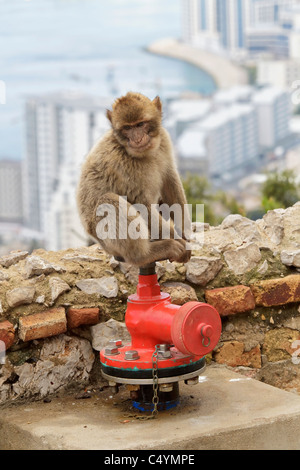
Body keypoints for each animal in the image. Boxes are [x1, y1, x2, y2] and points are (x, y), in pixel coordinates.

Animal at [76, 92, 191, 266]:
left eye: (140, 124)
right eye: (127, 128)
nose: (137, 139)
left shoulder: (164, 140)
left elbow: (170, 181)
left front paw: (185, 232)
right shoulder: (121, 165)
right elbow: (141, 203)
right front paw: (178, 240)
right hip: (105, 239)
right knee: (109, 201)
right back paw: (145, 255)